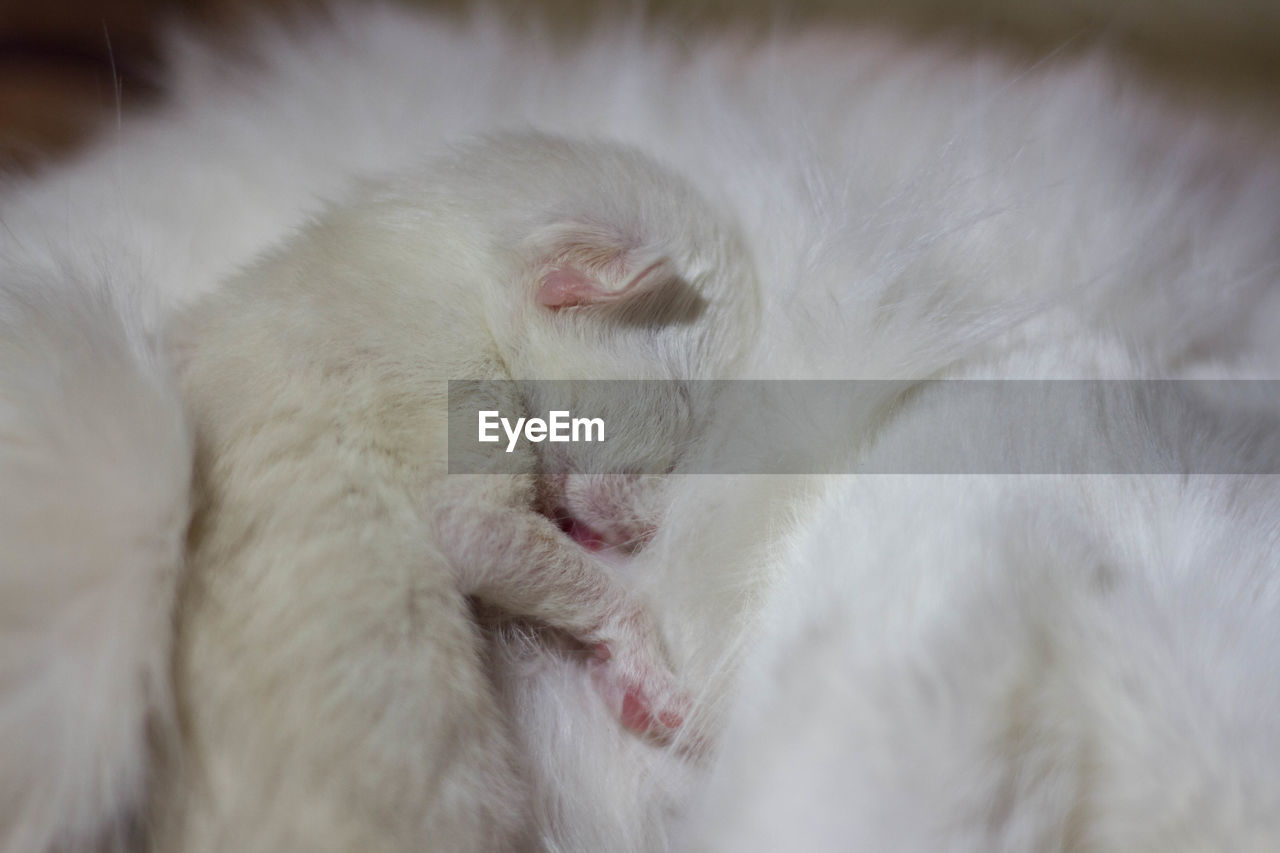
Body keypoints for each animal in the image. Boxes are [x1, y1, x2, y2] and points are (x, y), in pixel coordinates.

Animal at [152, 133, 757, 850]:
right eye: (685, 400)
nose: (648, 536)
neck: (448, 262)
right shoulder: (456, 394)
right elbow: (487, 537)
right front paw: (661, 694)